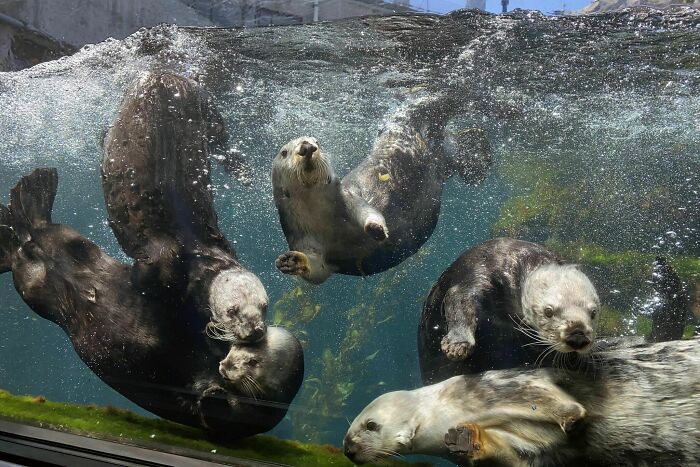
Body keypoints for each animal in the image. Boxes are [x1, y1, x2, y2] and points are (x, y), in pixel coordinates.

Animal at [0, 169, 302, 438]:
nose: (254, 331)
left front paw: (210, 394)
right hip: (75, 243)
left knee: (25, 257)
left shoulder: (243, 420)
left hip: (35, 290)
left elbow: (214, 416)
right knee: (49, 233)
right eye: (233, 310)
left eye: (250, 361)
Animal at [102, 71, 266, 342]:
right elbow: (148, 274)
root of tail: (164, 73)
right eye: (232, 311)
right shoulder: (164, 259)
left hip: (207, 109)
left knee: (222, 142)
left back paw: (244, 173)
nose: (256, 330)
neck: (198, 254)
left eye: (264, 306)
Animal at [272, 94, 491, 284]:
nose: (307, 146)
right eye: (284, 152)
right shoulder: (302, 238)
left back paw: (479, 148)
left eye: (318, 142)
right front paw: (293, 262)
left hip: (410, 139)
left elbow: (367, 212)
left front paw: (376, 228)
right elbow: (318, 272)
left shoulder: (349, 199)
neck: (323, 218)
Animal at [346, 338, 700, 466]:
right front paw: (465, 440)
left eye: (370, 425)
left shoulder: (504, 387)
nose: (348, 449)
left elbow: (551, 396)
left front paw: (573, 416)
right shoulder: (527, 450)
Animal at [418, 238, 600, 384]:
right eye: (548, 311)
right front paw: (458, 344)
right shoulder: (480, 272)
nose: (577, 336)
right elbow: (459, 300)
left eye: (593, 313)